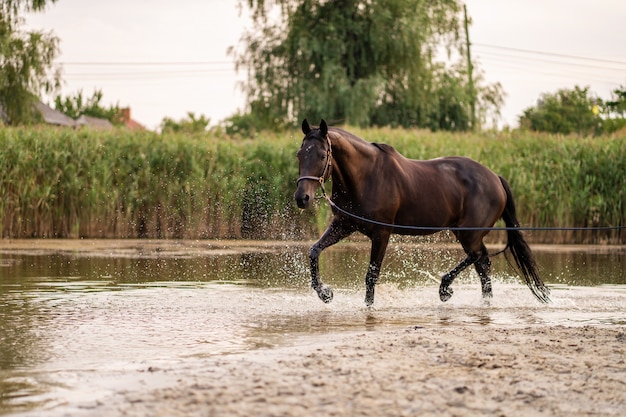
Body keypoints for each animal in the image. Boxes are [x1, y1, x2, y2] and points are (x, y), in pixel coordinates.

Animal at [294, 119, 548, 306]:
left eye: (322, 156)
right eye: (299, 154)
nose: (301, 198)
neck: (366, 177)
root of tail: (495, 178)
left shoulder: (381, 234)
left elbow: (371, 275)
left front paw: (367, 306)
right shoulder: (344, 225)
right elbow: (314, 251)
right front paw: (325, 294)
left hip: (469, 234)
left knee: (480, 258)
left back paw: (446, 289)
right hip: (465, 233)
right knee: (482, 263)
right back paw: (479, 300)